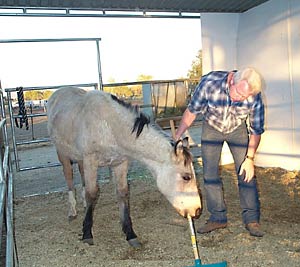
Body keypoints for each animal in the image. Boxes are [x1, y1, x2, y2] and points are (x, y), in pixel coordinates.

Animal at [47, 87, 202, 248]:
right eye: (186, 177)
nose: (197, 211)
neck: (110, 126)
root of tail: (57, 93)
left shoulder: (120, 163)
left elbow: (122, 193)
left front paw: (130, 234)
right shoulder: (91, 161)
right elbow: (92, 193)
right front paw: (87, 233)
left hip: (80, 159)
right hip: (63, 155)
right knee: (69, 178)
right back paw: (72, 211)